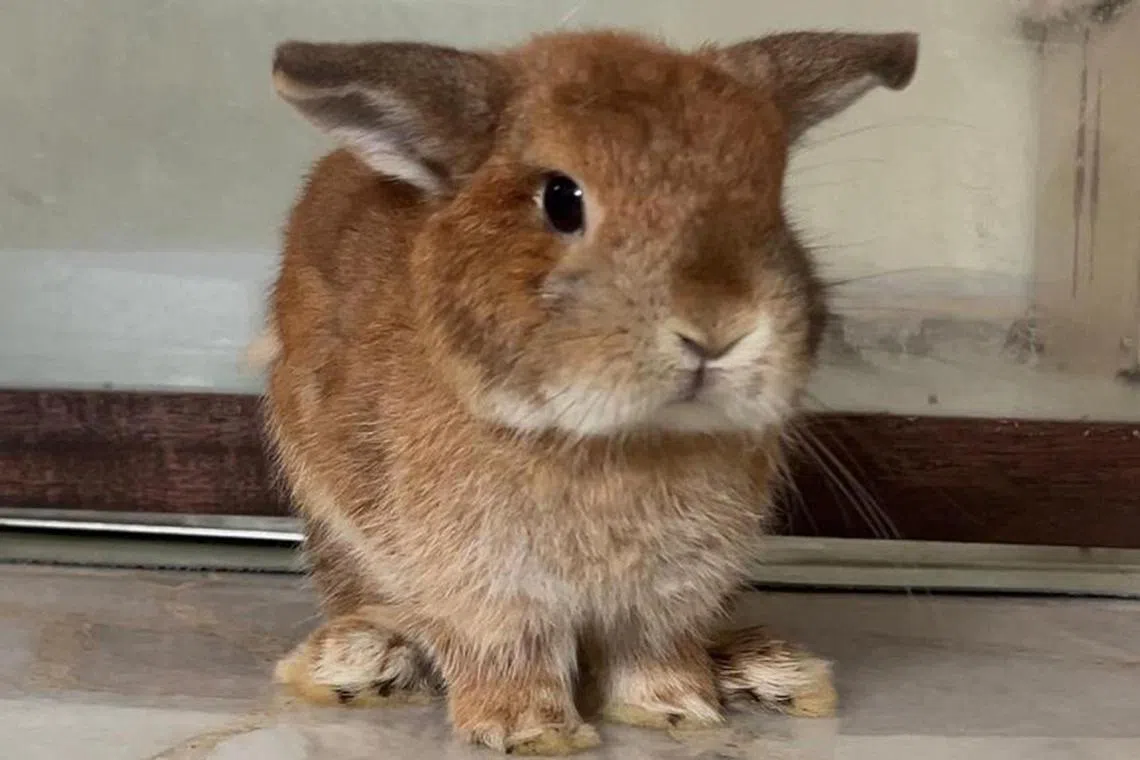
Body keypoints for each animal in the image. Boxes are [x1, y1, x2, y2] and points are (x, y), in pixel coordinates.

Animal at [262, 29, 918, 755]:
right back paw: (360, 662)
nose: (717, 329)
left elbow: (652, 656)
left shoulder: (668, 599)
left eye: (772, 202)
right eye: (561, 199)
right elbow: (507, 654)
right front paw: (529, 730)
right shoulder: (487, 589)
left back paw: (766, 670)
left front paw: (677, 710)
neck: (617, 439)